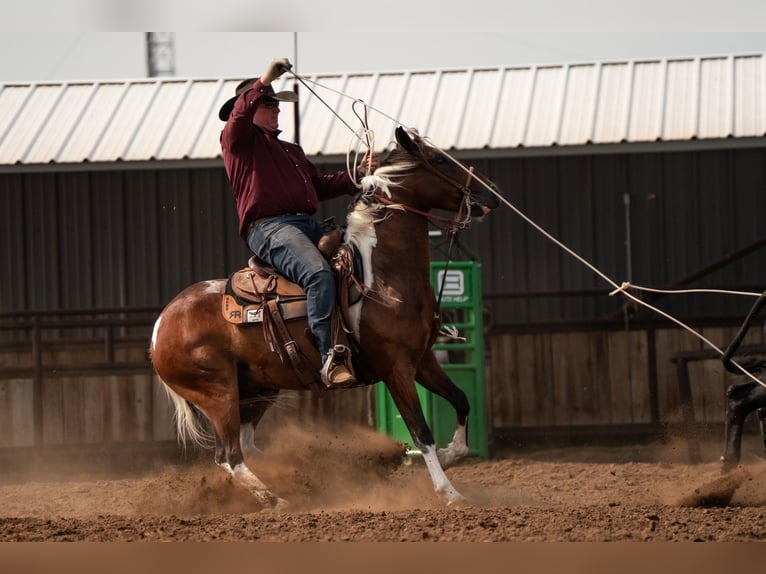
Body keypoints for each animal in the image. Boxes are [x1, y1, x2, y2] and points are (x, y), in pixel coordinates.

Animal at [150, 126, 500, 508]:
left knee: (244, 446)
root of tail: (161, 324)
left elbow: (461, 400)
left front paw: (451, 455)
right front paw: (448, 492)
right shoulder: (395, 367)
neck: (382, 275)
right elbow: (420, 430)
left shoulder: (422, 360)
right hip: (218, 392)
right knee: (229, 456)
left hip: (258, 386)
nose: (490, 195)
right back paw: (277, 499)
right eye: (438, 160)